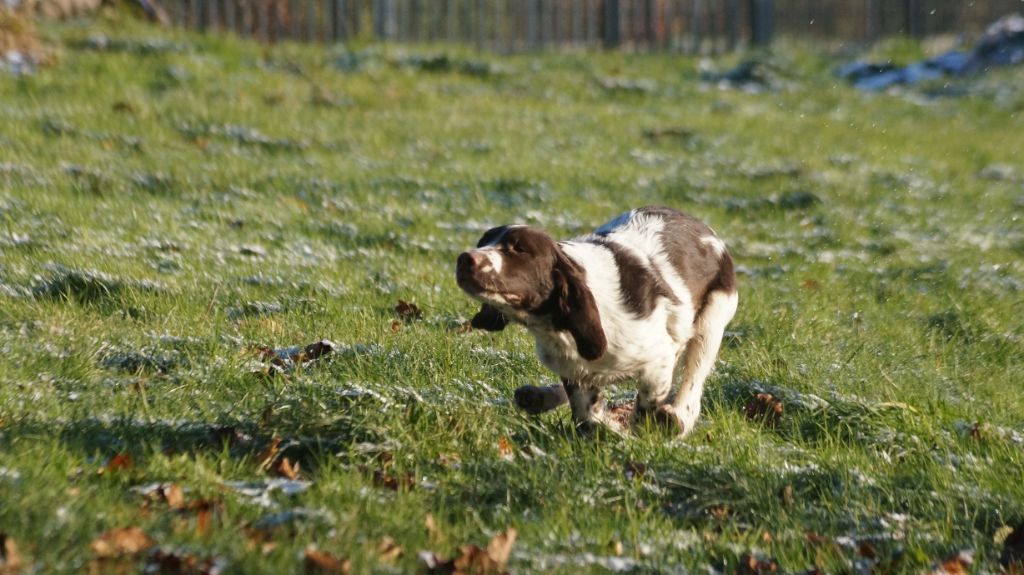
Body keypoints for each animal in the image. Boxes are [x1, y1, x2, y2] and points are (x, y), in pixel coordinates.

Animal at [456, 205, 737, 433]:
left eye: (519, 249)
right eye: (483, 241)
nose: (464, 258)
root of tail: (706, 228)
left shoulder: (659, 359)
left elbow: (644, 406)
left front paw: (643, 430)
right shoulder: (571, 366)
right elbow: (587, 414)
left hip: (711, 321)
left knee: (693, 380)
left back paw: (677, 419)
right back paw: (539, 396)